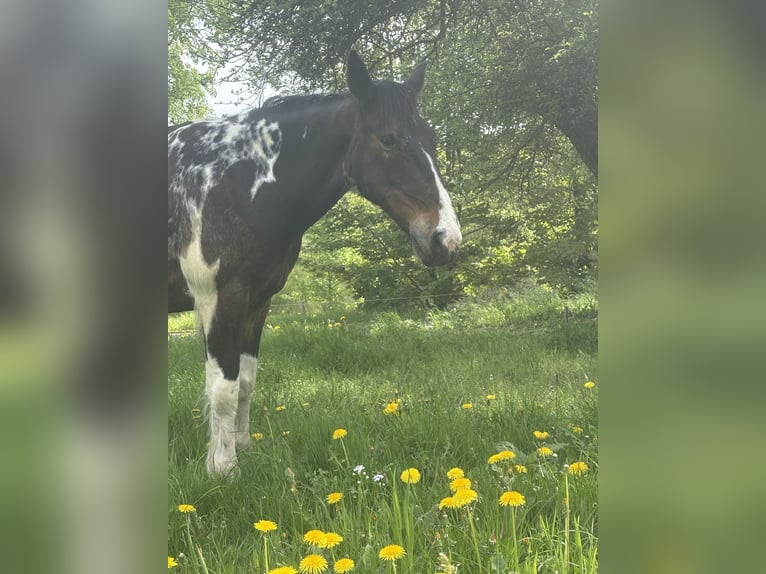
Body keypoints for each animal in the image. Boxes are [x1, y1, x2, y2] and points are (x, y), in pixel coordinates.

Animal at [168, 51, 462, 476]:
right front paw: (223, 469)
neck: (242, 181)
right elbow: (223, 388)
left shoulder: (258, 301)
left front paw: (244, 450)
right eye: (389, 139)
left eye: (431, 139)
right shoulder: (220, 298)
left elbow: (246, 382)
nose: (446, 240)